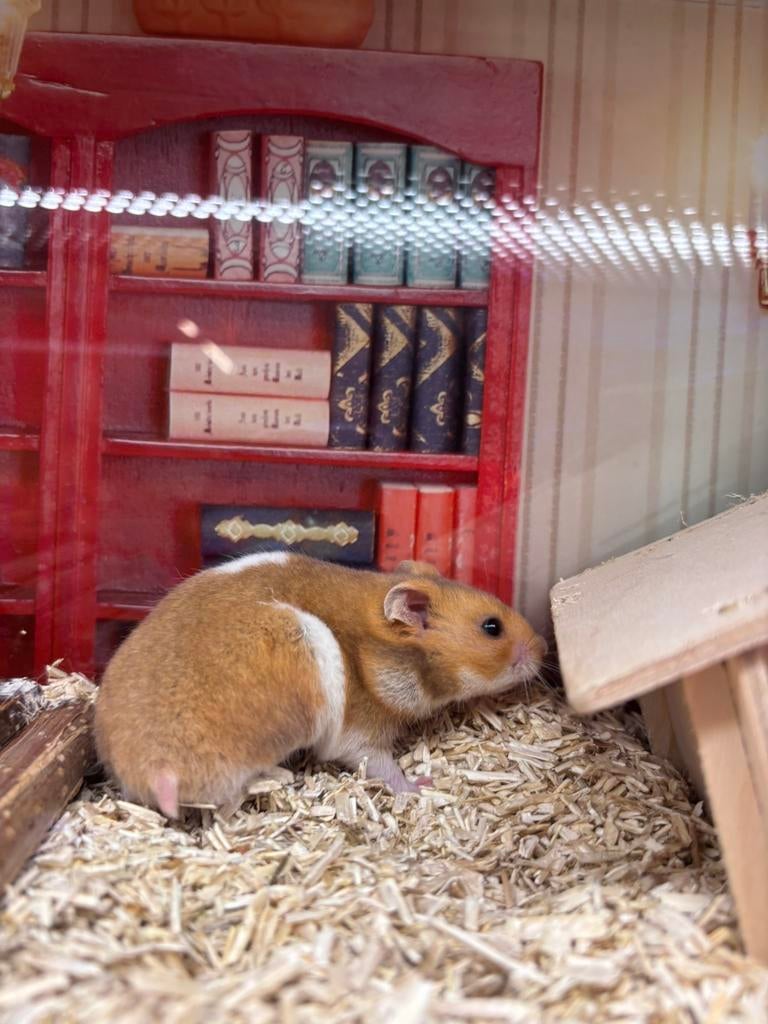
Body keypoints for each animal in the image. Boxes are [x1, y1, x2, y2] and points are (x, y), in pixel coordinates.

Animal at [94, 553, 546, 817]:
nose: (544, 648)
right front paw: (421, 786)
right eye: (492, 627)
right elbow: (384, 767)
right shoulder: (358, 738)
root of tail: (158, 770)